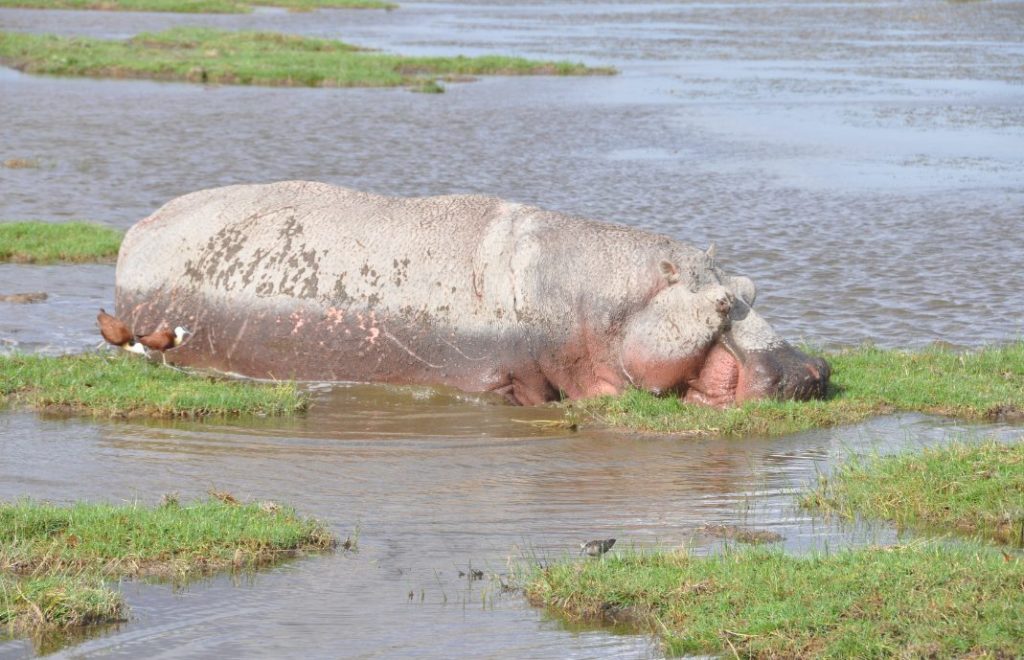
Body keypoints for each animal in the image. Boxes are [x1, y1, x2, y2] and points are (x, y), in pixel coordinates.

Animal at [114, 181, 831, 407]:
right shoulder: (500, 381)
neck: (601, 307)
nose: (811, 370)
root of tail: (139, 229)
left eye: (750, 285)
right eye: (719, 307)